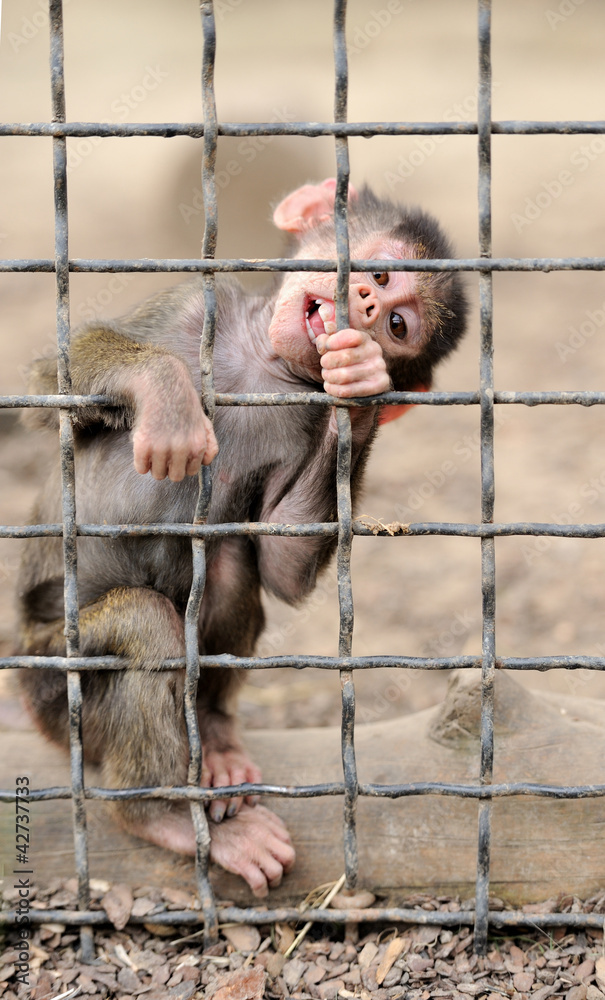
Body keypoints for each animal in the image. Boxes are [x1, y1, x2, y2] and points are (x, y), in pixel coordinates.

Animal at [16, 180, 464, 900]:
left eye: (398, 327)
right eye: (379, 275)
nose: (367, 306)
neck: (263, 361)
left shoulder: (305, 421)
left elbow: (281, 564)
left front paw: (361, 386)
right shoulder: (190, 306)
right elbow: (44, 387)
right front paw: (165, 393)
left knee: (222, 569)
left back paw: (204, 758)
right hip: (49, 680)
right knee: (143, 627)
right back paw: (160, 812)